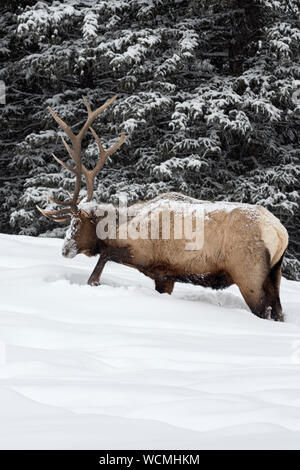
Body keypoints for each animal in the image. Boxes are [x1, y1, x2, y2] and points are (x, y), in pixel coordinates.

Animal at [37, 95, 288, 324]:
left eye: (76, 222)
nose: (65, 250)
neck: (123, 225)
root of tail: (279, 233)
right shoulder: (165, 275)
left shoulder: (143, 253)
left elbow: (103, 258)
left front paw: (94, 282)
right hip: (274, 273)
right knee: (278, 311)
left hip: (248, 272)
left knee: (264, 310)